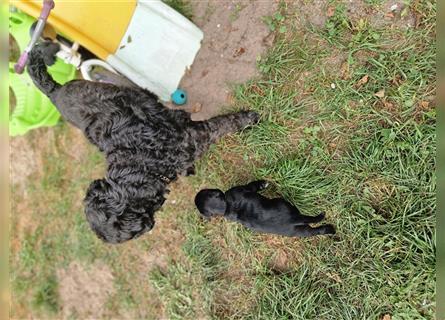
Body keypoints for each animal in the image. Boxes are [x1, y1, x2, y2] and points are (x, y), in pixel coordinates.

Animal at [26, 42, 256, 242]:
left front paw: (250, 118)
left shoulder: (192, 135)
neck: (139, 163)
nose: (149, 226)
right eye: (137, 233)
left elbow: (225, 122)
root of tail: (54, 91)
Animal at [194, 180, 332, 238]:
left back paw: (331, 229)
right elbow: (254, 185)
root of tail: (293, 219)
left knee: (318, 230)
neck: (226, 206)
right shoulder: (246, 188)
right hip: (286, 206)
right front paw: (263, 183)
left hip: (301, 232)